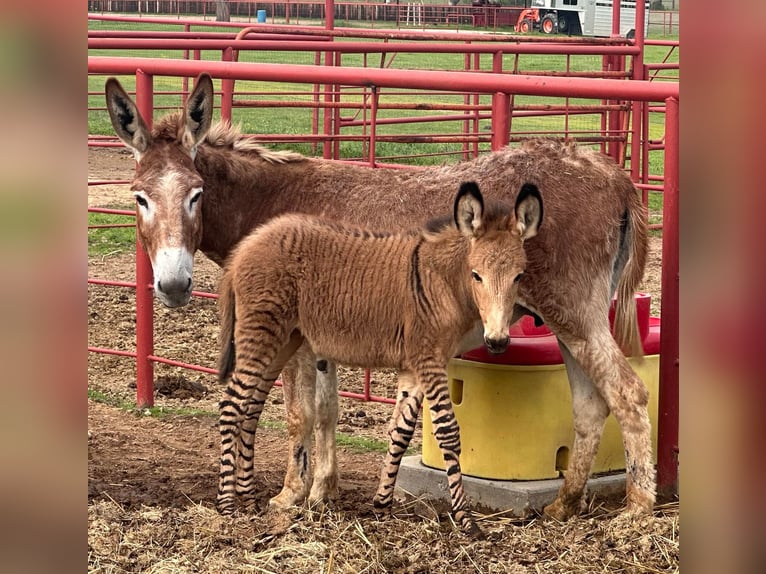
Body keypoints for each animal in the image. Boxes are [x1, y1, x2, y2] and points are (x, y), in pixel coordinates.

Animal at [216, 182, 540, 536]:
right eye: (476, 275)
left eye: (519, 276)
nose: (497, 341)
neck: (442, 283)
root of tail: (248, 244)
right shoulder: (430, 361)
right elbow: (447, 432)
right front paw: (466, 519)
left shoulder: (416, 366)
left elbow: (400, 431)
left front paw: (382, 505)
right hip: (263, 334)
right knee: (231, 405)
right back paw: (227, 505)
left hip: (284, 340)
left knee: (250, 408)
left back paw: (249, 498)